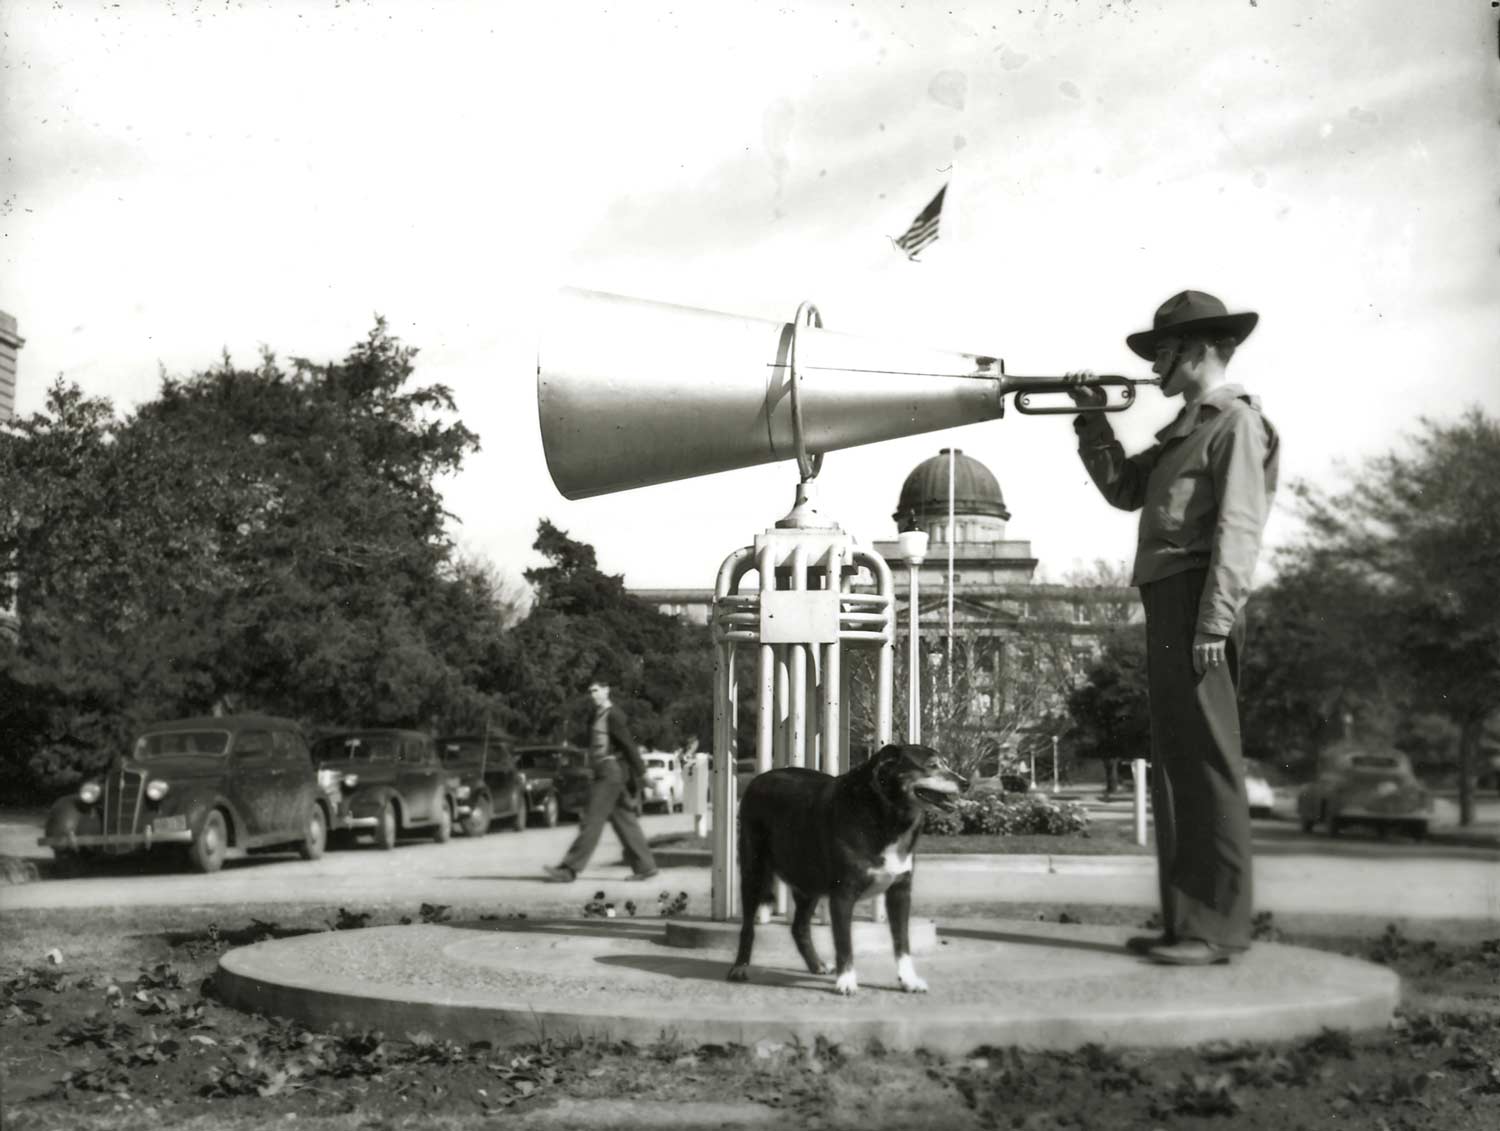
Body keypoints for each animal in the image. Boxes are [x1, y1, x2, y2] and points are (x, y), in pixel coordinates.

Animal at [729, 744, 966, 990]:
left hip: (809, 884)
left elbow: (902, 941)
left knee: (799, 927)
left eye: (946, 763)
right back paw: (740, 967)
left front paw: (908, 980)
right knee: (748, 927)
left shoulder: (900, 891)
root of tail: (759, 779)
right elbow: (844, 942)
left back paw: (816, 964)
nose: (965, 783)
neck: (885, 814)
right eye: (932, 765)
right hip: (753, 871)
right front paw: (846, 980)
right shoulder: (843, 894)